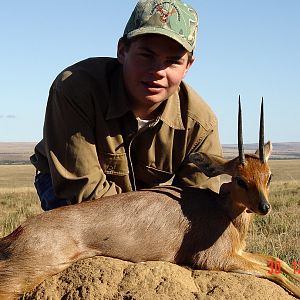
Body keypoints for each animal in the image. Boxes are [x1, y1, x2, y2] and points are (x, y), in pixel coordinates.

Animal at [0, 99, 298, 298]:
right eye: (239, 178)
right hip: (28, 273)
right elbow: (271, 271)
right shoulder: (214, 260)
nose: (264, 207)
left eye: (268, 176)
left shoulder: (239, 252)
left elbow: (277, 261)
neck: (223, 211)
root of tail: (15, 234)